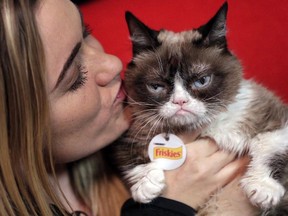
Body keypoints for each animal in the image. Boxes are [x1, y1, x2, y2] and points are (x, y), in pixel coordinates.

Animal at [112, 2, 288, 215]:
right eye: (156, 86)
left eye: (202, 81)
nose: (180, 102)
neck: (201, 128)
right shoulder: (128, 134)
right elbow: (133, 160)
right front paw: (146, 185)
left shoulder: (273, 117)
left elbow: (268, 144)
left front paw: (263, 187)